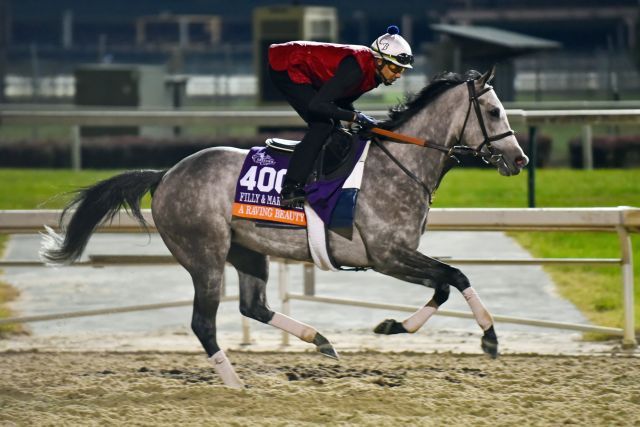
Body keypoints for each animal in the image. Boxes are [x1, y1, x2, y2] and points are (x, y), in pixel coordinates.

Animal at [41, 67, 528, 388]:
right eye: (492, 111)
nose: (519, 159)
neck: (399, 163)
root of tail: (165, 175)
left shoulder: (398, 255)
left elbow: (445, 284)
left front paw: (391, 326)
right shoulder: (387, 255)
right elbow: (455, 276)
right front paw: (489, 338)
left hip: (247, 252)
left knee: (252, 306)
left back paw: (321, 340)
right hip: (205, 257)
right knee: (203, 324)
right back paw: (236, 384)